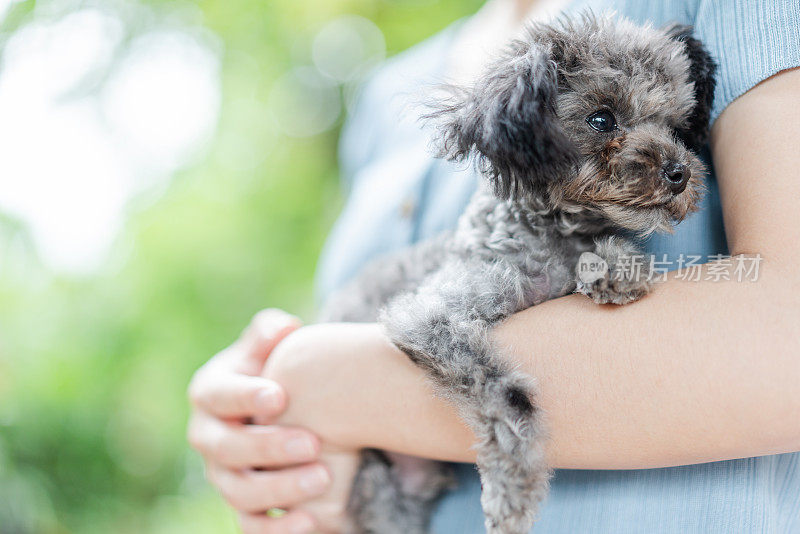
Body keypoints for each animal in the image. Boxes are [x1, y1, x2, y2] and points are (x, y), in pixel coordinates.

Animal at [322, 14, 716, 534]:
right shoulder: (429, 315)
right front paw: (512, 486)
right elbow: (506, 395)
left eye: (675, 126)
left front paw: (614, 267)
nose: (678, 173)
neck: (555, 236)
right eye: (602, 119)